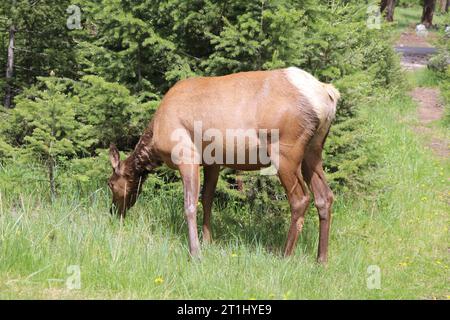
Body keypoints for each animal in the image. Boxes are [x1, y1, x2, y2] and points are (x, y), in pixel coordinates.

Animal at [109, 66, 340, 264]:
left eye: (110, 184)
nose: (113, 212)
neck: (155, 142)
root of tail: (328, 94)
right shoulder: (213, 162)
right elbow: (207, 198)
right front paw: (207, 241)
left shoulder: (186, 154)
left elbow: (190, 205)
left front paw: (195, 253)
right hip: (313, 150)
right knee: (325, 196)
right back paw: (321, 260)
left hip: (285, 150)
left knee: (300, 199)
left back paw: (285, 256)